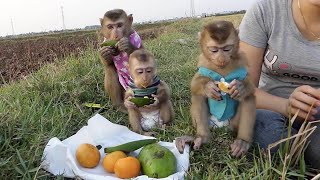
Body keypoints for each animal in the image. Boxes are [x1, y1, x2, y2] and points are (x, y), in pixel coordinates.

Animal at [175, 20, 255, 157]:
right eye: (214, 50)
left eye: (227, 48)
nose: (221, 59)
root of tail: (221, 125)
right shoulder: (203, 62)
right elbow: (195, 83)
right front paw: (208, 87)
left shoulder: (242, 60)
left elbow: (251, 85)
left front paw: (240, 87)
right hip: (210, 122)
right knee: (198, 96)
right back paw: (202, 137)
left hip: (233, 124)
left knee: (248, 98)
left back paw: (242, 142)